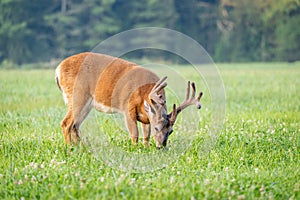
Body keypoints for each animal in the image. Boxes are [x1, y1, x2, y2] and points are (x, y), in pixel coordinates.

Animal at [55, 52, 203, 149]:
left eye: (171, 130)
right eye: (157, 127)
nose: (161, 146)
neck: (145, 92)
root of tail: (58, 69)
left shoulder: (146, 116)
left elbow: (146, 135)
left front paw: (146, 148)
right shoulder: (128, 108)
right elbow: (135, 134)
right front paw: (135, 149)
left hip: (87, 104)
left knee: (75, 125)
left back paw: (81, 147)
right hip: (77, 95)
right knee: (66, 123)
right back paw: (70, 149)